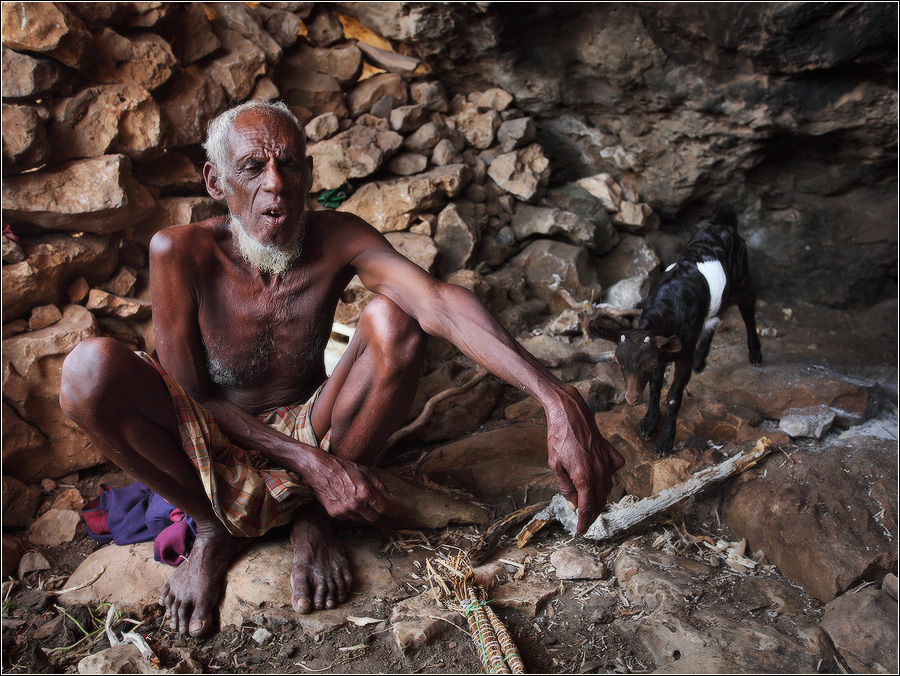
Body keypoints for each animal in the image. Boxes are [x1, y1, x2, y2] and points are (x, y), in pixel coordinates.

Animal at [588, 206, 764, 454]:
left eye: (650, 364)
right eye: (617, 363)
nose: (631, 398)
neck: (666, 310)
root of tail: (724, 222)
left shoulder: (682, 353)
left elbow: (673, 395)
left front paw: (665, 441)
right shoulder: (663, 351)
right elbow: (655, 387)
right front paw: (649, 423)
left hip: (741, 274)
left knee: (747, 304)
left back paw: (755, 353)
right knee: (716, 316)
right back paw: (702, 359)